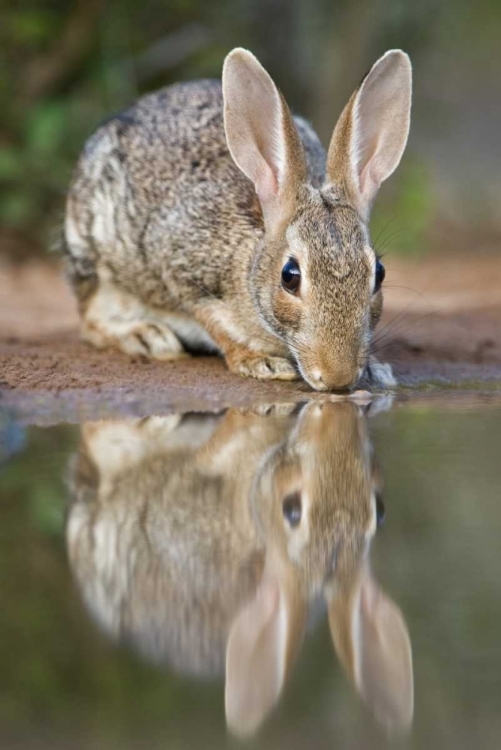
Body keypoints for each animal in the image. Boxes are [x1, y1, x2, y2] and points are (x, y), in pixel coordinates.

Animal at [63, 47, 410, 394]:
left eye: (379, 273)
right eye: (290, 276)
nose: (338, 378)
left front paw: (376, 370)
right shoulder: (183, 270)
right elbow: (213, 323)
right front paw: (260, 362)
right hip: (97, 261)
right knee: (91, 322)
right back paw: (147, 337)